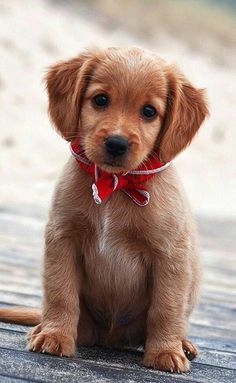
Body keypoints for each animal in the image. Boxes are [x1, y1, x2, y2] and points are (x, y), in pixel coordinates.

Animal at [0, 46, 207, 374]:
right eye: (100, 100)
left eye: (149, 111)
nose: (117, 143)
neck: (115, 185)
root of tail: (111, 336)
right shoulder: (63, 239)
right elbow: (61, 294)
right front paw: (55, 335)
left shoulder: (170, 255)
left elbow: (166, 307)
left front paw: (165, 351)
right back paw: (43, 327)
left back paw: (182, 343)